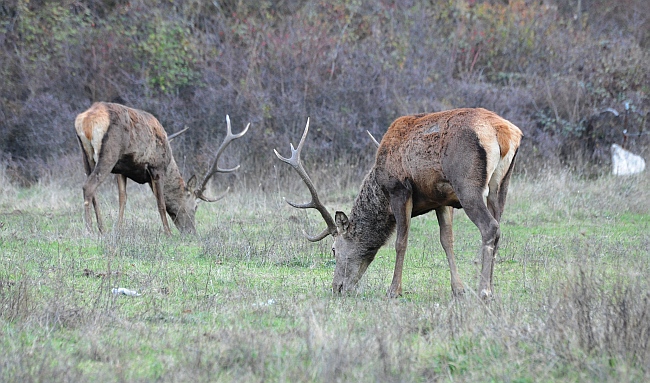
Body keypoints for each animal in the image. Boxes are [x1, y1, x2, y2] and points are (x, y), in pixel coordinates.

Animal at [74, 102, 248, 236]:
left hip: (86, 156)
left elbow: (122, 199)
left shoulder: (122, 170)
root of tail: (85, 120)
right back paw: (90, 230)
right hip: (109, 153)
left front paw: (118, 229)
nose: (192, 232)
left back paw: (102, 229)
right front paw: (168, 233)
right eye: (195, 207)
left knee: (92, 190)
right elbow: (161, 203)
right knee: (88, 186)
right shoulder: (157, 167)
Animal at [274, 108, 520, 300]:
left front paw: (393, 290)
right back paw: (492, 288)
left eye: (334, 249)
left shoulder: (399, 189)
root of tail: (505, 133)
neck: (380, 192)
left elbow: (401, 242)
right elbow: (447, 240)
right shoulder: (441, 200)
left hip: (467, 184)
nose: (337, 288)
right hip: (501, 185)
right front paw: (458, 290)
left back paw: (484, 291)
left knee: (490, 227)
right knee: (498, 228)